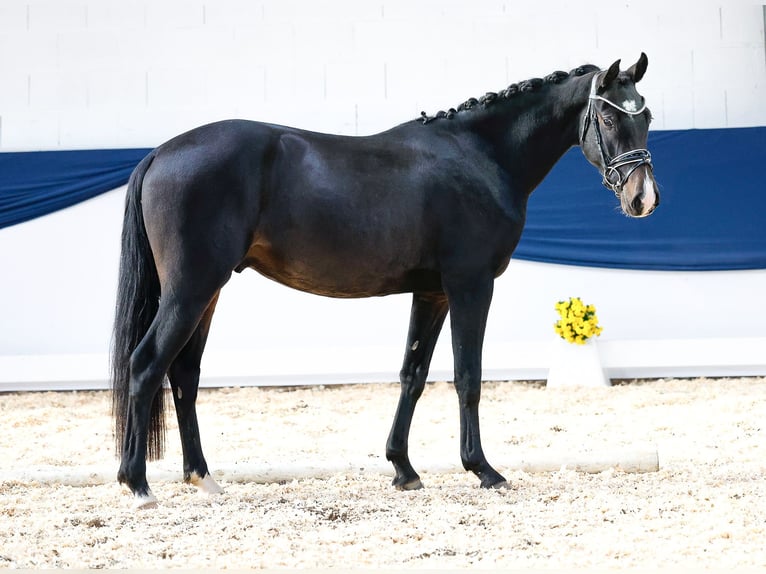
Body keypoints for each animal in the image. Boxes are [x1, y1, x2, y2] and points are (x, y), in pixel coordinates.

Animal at [112, 54, 660, 510]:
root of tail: (161, 153)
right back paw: (137, 485)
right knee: (146, 365)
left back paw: (202, 477)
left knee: (184, 375)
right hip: (190, 290)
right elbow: (468, 377)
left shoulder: (432, 292)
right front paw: (483, 470)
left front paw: (404, 469)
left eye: (647, 117)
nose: (643, 198)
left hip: (206, 293)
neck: (481, 156)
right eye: (609, 118)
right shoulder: (470, 285)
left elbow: (412, 375)